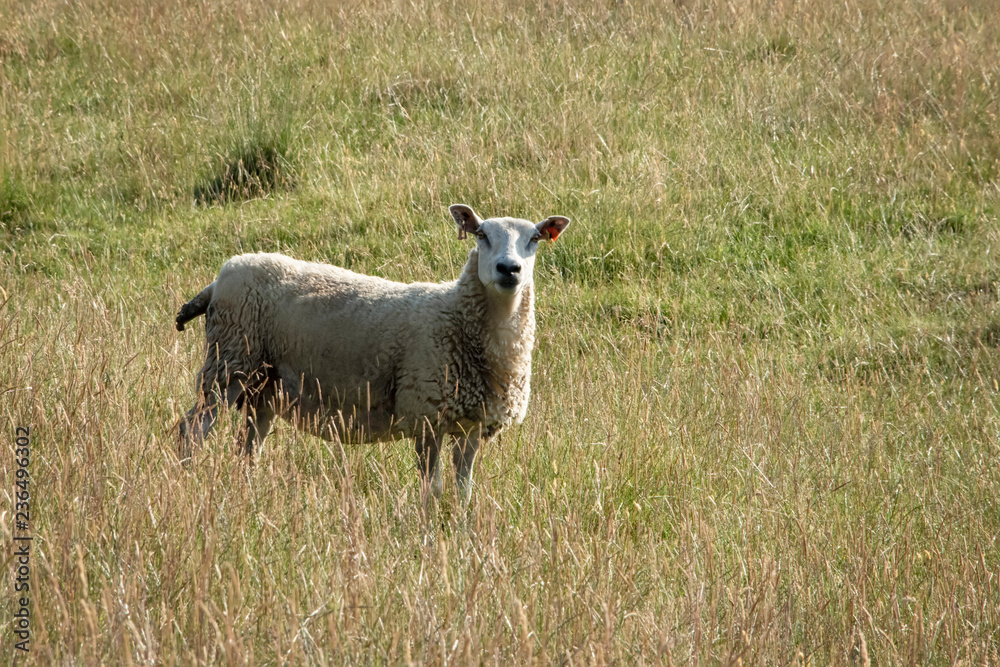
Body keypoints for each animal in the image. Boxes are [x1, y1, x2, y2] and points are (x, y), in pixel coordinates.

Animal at [175, 204, 570, 502]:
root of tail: (220, 277)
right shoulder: (425, 414)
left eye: (534, 239)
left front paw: (460, 533)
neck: (456, 316)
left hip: (264, 386)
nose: (509, 269)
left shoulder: (472, 424)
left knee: (247, 447)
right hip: (228, 363)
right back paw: (186, 482)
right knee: (191, 430)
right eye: (482, 235)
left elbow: (462, 491)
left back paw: (247, 493)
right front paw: (428, 535)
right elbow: (432, 490)